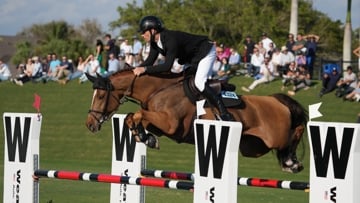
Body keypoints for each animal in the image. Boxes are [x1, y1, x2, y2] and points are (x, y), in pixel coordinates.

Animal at [85, 67, 306, 173]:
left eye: (101, 96)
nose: (90, 124)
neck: (159, 89)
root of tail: (276, 100)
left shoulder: (171, 124)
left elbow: (138, 114)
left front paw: (145, 137)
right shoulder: (160, 125)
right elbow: (135, 118)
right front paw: (146, 138)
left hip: (275, 138)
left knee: (296, 132)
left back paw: (291, 162)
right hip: (253, 147)